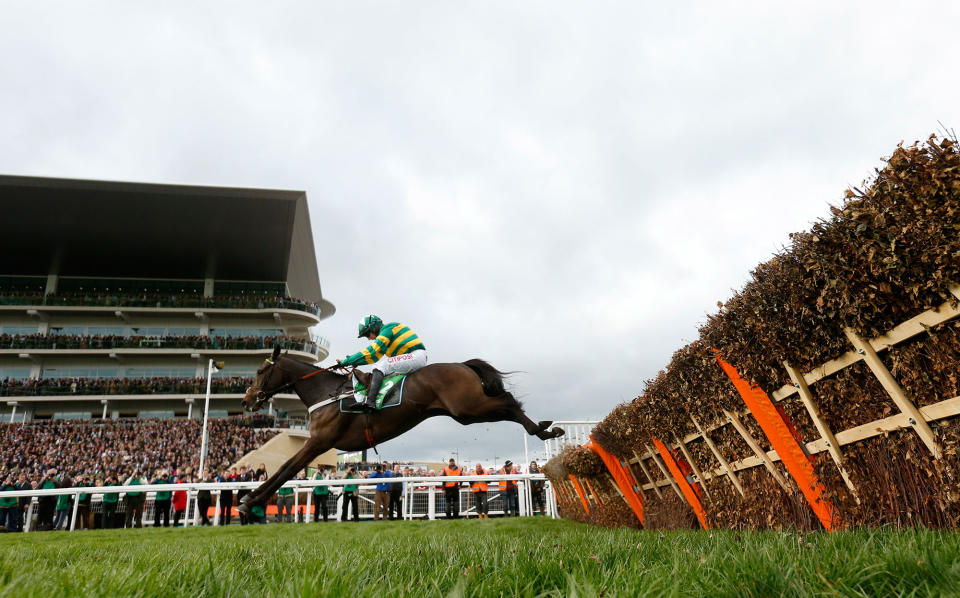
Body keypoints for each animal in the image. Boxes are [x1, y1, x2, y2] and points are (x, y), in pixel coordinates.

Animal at [238, 344, 564, 512]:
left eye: (260, 370)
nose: (247, 399)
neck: (326, 393)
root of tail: (461, 364)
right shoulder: (317, 443)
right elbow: (285, 468)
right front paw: (249, 497)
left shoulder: (319, 442)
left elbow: (287, 469)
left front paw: (250, 500)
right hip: (466, 412)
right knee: (507, 403)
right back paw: (545, 428)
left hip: (468, 407)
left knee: (508, 402)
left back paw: (545, 430)